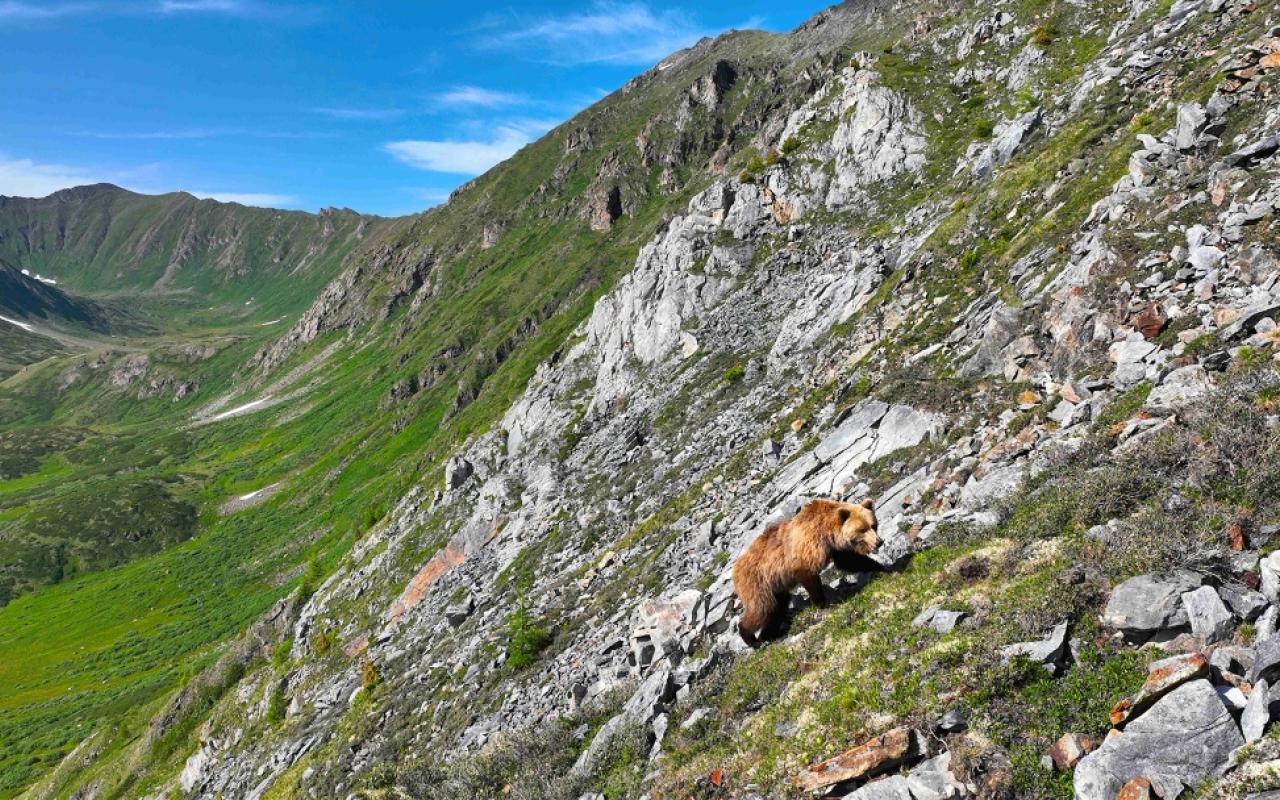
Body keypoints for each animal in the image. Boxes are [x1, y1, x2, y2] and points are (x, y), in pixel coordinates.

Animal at [731, 497, 880, 647]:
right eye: (862, 529)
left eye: (873, 525)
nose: (879, 542)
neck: (827, 532)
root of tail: (735, 569)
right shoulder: (808, 545)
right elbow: (808, 574)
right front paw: (823, 603)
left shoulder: (834, 548)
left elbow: (850, 561)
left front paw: (881, 568)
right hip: (757, 583)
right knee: (762, 609)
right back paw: (751, 638)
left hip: (776, 587)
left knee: (777, 608)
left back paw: (769, 634)